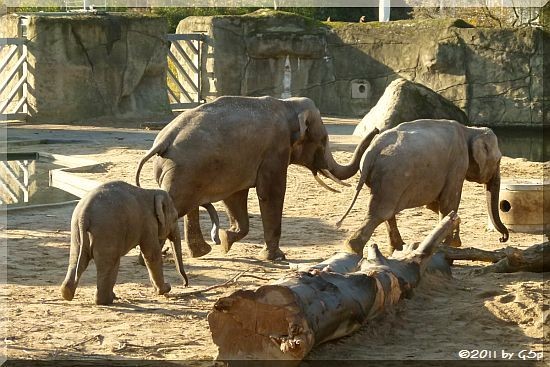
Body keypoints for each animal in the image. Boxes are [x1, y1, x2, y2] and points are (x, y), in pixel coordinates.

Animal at [136, 95, 382, 262]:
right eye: (322, 141)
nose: (378, 129)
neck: (288, 104)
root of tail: (163, 140)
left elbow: (235, 197)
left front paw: (225, 241)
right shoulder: (275, 150)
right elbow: (271, 192)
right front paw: (276, 257)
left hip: (182, 172)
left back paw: (196, 253)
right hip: (183, 172)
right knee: (175, 208)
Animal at [338, 119, 512, 254]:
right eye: (498, 160)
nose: (502, 238)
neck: (469, 129)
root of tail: (372, 150)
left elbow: (436, 205)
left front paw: (452, 238)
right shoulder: (458, 163)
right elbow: (449, 203)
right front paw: (452, 244)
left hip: (381, 180)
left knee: (386, 213)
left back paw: (397, 248)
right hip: (392, 178)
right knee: (381, 212)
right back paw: (354, 248)